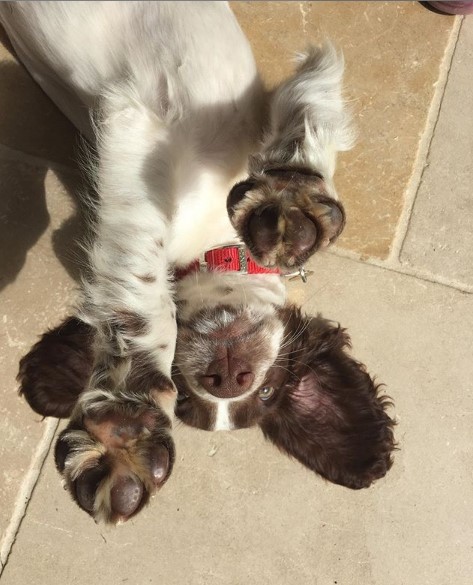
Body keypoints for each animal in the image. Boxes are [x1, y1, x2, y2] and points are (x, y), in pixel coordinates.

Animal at [1, 1, 394, 524]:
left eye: (265, 392)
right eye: (184, 393)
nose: (227, 380)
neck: (214, 242)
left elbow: (313, 111)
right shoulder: (132, 128)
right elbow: (149, 287)